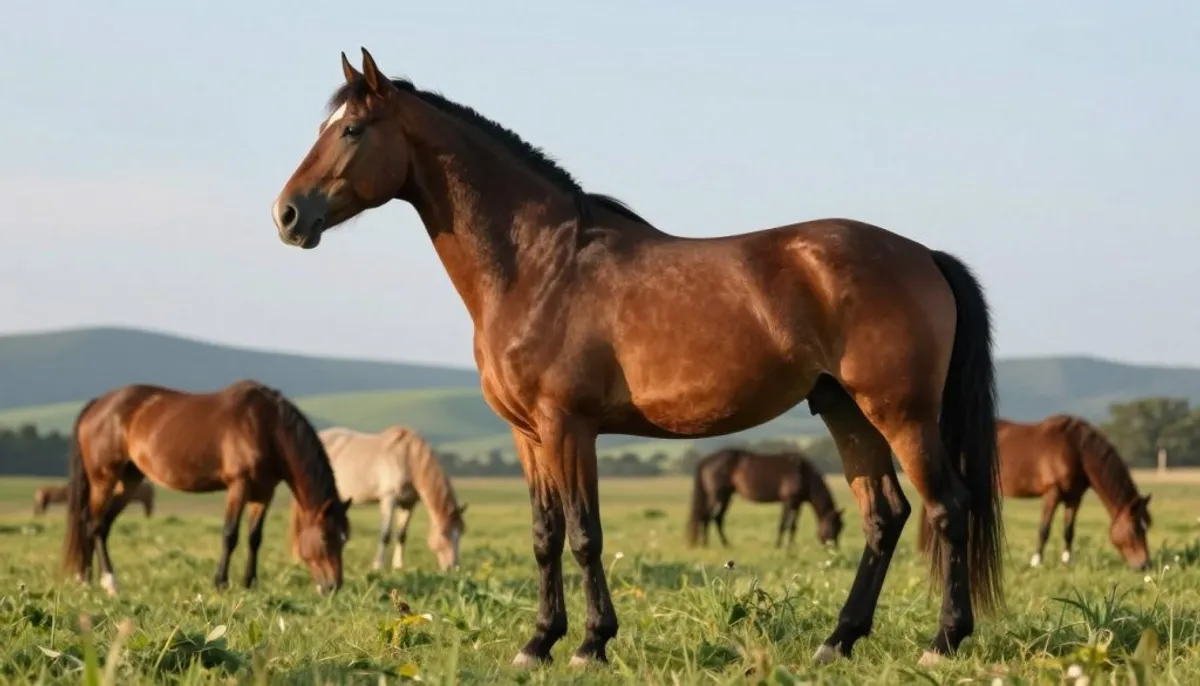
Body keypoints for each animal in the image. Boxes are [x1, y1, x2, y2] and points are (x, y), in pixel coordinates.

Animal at [61, 380, 351, 597]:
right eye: (325, 537)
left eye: (344, 539)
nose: (333, 586)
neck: (267, 426)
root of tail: (98, 404)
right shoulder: (238, 485)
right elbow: (230, 534)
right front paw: (220, 583)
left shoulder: (263, 493)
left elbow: (254, 538)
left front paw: (249, 584)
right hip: (104, 478)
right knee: (95, 523)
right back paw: (107, 582)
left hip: (131, 479)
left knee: (103, 525)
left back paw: (87, 578)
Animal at [288, 425, 468, 572]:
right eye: (444, 534)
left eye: (460, 533)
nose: (454, 567)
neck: (408, 457)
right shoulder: (389, 500)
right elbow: (385, 535)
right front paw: (378, 566)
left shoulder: (408, 504)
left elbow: (401, 535)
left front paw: (398, 566)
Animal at [686, 448, 845, 549]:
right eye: (833, 527)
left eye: (841, 528)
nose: (835, 550)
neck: (803, 473)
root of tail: (706, 461)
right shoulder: (788, 502)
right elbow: (784, 524)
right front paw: (779, 545)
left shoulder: (797, 504)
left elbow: (793, 526)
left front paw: (791, 546)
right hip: (717, 496)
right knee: (706, 517)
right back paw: (705, 544)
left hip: (726, 496)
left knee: (718, 518)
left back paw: (726, 544)